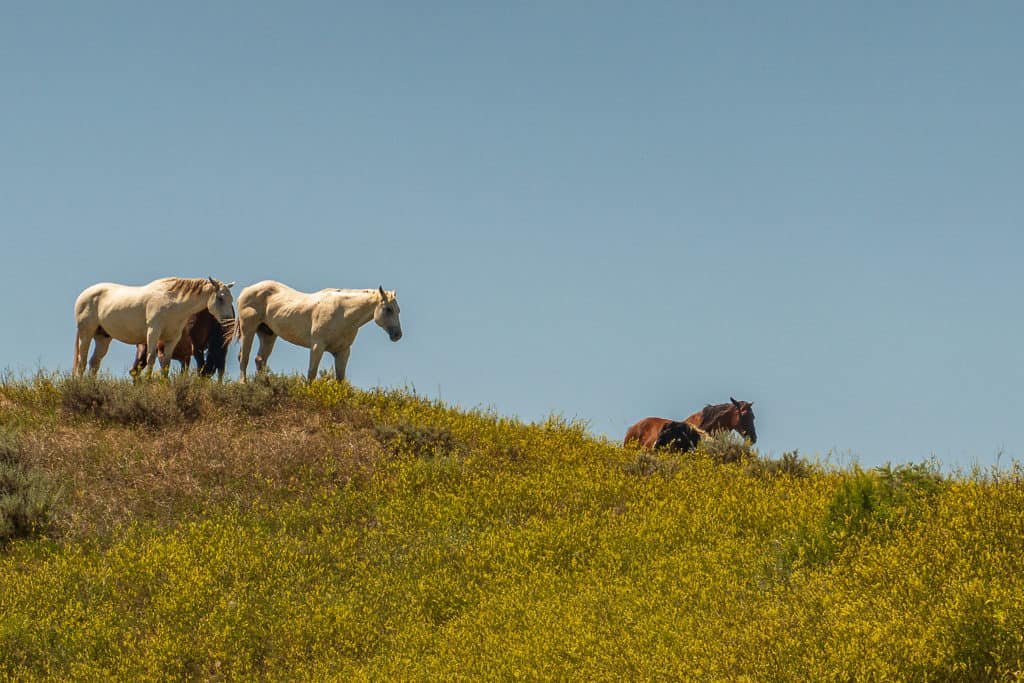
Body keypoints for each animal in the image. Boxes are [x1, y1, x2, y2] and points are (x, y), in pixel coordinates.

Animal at [73, 277, 236, 377]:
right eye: (220, 298)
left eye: (231, 299)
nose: (230, 322)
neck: (172, 302)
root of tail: (84, 295)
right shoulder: (153, 333)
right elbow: (151, 358)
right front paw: (148, 382)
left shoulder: (172, 339)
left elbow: (166, 364)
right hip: (86, 333)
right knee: (82, 362)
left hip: (103, 337)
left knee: (94, 363)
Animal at [236, 280, 402, 383]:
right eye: (388, 309)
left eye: (398, 310)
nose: (397, 335)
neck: (343, 313)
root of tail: (246, 290)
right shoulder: (317, 346)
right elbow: (312, 373)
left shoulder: (343, 352)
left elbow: (340, 379)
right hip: (248, 329)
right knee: (244, 357)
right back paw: (244, 384)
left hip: (268, 334)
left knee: (260, 360)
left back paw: (266, 385)